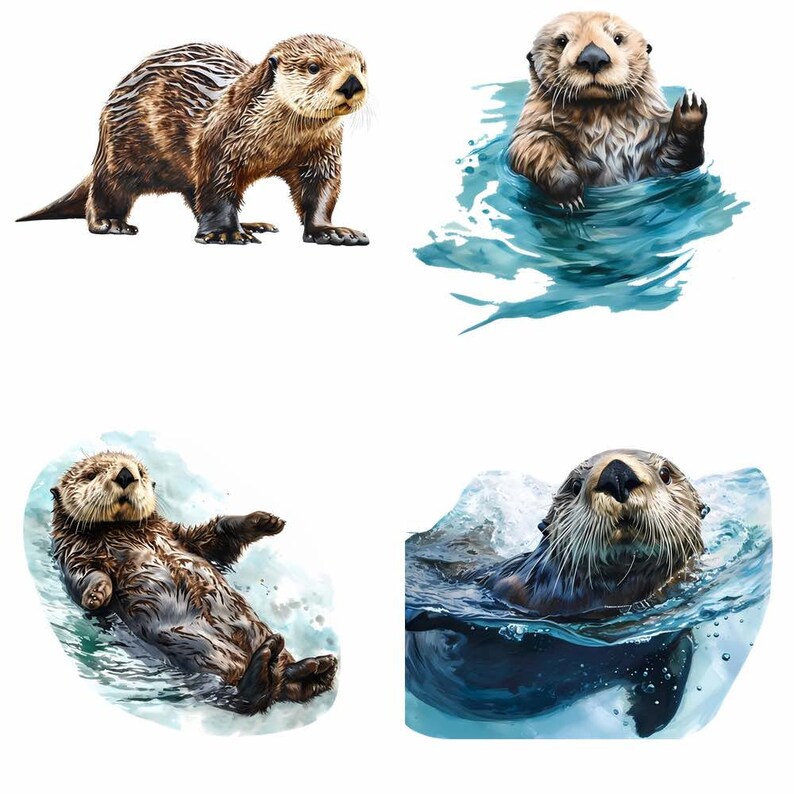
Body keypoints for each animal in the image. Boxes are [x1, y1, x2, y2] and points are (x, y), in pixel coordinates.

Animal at [18, 35, 369, 245]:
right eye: (313, 67)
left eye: (362, 65)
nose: (352, 83)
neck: (277, 143)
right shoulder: (219, 142)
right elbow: (216, 189)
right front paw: (226, 234)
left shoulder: (322, 150)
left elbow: (321, 190)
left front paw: (331, 231)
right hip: (122, 150)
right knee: (106, 189)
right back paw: (111, 223)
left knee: (192, 195)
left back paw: (251, 223)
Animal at [51, 451, 337, 713]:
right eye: (91, 474)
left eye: (140, 473)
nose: (125, 475)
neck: (119, 529)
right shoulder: (73, 553)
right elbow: (85, 577)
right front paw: (96, 593)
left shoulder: (180, 535)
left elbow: (219, 536)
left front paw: (265, 520)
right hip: (202, 653)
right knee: (251, 697)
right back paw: (273, 666)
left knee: (287, 686)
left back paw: (316, 670)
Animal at [405, 450, 709, 736]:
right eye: (575, 485)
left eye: (665, 473)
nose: (617, 473)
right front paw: (420, 617)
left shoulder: (667, 635)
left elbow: (675, 665)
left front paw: (647, 720)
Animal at [508, 12, 707, 209]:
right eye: (561, 41)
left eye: (618, 38)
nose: (593, 57)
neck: (601, 121)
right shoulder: (533, 128)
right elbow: (533, 145)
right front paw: (568, 190)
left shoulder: (652, 139)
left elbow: (674, 162)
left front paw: (690, 111)